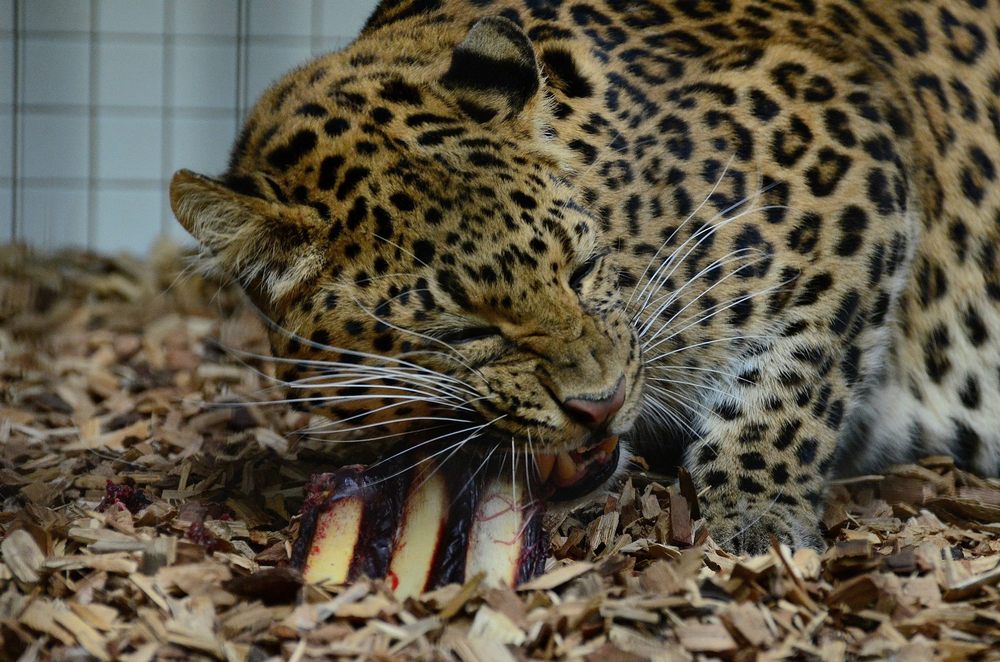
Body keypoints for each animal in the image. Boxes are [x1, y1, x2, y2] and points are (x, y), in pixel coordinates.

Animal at [170, 0, 1000, 556]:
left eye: (580, 269)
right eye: (466, 330)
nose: (601, 404)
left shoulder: (851, 161)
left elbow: (793, 381)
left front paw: (755, 515)